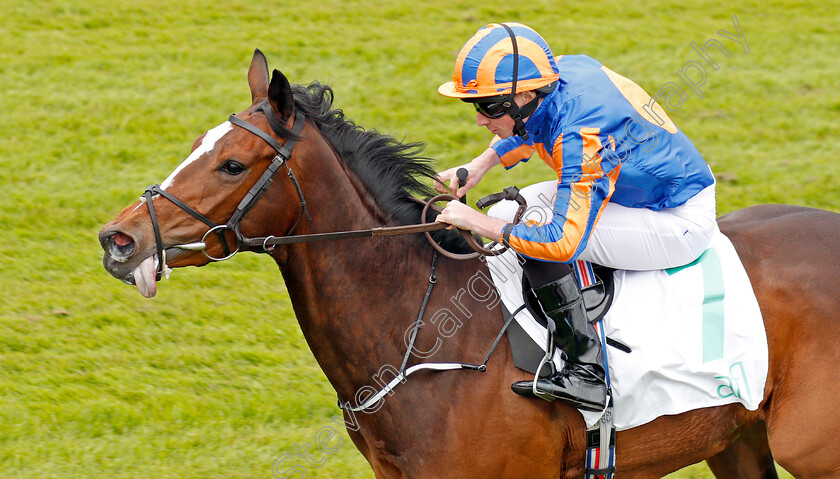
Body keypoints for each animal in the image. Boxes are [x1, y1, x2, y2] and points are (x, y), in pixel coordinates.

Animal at [100, 50, 840, 478]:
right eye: (197, 143)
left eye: (231, 163)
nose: (118, 238)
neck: (420, 325)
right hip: (735, 437)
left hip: (810, 447)